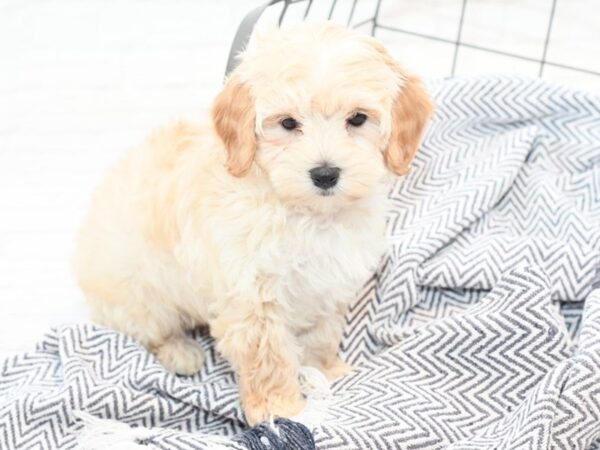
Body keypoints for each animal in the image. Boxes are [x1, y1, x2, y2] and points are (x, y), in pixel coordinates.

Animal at [74, 22, 432, 424]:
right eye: (288, 123)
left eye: (357, 119)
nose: (325, 174)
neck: (307, 215)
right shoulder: (251, 297)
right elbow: (268, 357)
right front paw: (281, 409)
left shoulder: (328, 286)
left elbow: (322, 334)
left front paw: (325, 372)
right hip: (140, 293)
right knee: (148, 331)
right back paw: (181, 353)